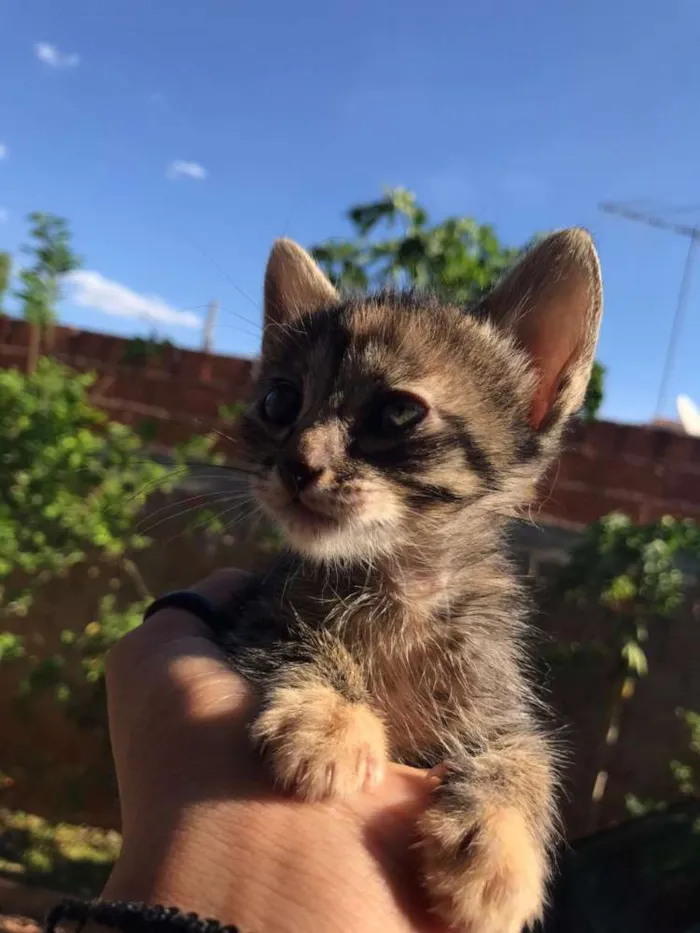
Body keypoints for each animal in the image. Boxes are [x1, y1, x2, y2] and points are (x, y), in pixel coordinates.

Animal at [219, 228, 600, 932]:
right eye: (279, 402)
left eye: (397, 413)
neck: (400, 591)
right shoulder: (252, 613)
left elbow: (529, 755)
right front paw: (329, 721)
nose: (296, 465)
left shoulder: (497, 700)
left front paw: (499, 843)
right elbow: (294, 638)